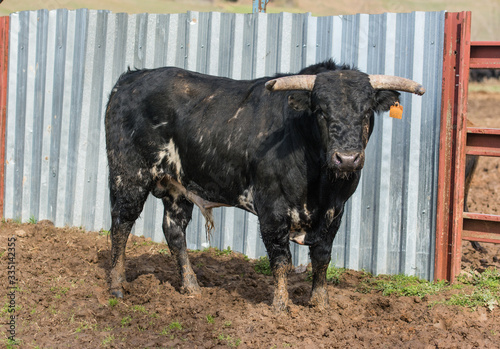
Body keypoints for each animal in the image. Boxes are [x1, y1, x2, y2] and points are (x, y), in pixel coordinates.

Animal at [105, 59, 426, 310]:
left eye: (367, 111)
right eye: (321, 111)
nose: (347, 159)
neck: (320, 186)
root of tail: (132, 78)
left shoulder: (336, 211)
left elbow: (322, 257)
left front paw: (320, 304)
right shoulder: (272, 208)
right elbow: (281, 259)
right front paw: (280, 306)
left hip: (176, 186)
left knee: (174, 230)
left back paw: (191, 287)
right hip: (129, 174)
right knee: (121, 223)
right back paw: (117, 285)